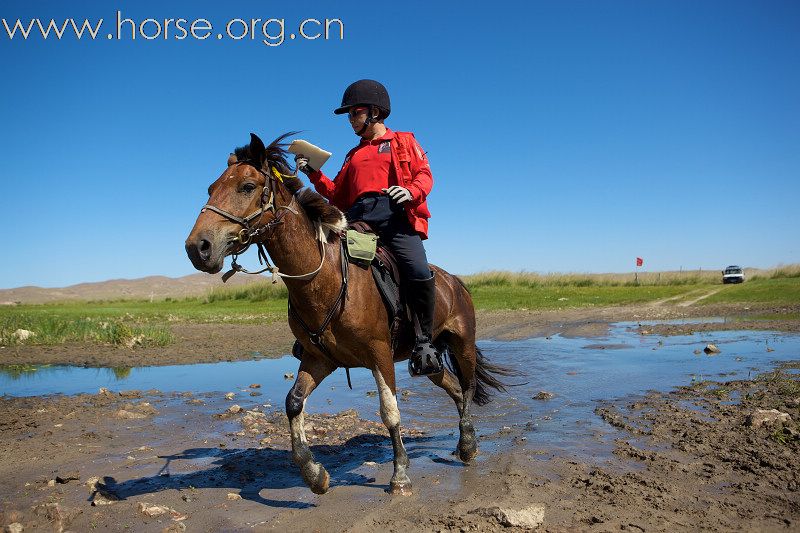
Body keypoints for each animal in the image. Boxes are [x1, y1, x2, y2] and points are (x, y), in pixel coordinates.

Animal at [186, 132, 512, 494]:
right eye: (211, 188)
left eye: (246, 186)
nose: (197, 247)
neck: (324, 278)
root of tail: (456, 281)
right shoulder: (319, 358)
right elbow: (293, 403)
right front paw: (314, 473)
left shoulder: (379, 353)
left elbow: (389, 411)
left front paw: (399, 475)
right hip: (428, 362)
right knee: (455, 388)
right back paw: (464, 443)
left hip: (462, 344)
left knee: (467, 386)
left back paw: (468, 446)